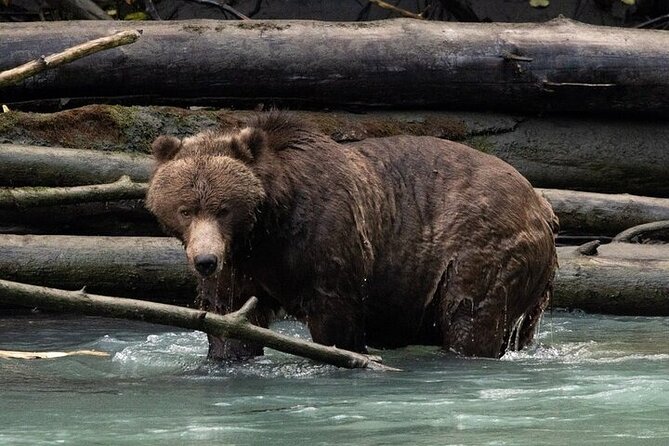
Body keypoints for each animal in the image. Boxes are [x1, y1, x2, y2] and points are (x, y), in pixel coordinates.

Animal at [146, 112, 558, 360]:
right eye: (185, 209)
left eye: (223, 208)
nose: (205, 260)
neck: (266, 225)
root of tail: (541, 203)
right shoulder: (241, 261)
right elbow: (229, 315)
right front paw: (227, 354)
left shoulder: (325, 238)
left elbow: (335, 315)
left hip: (480, 245)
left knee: (470, 314)